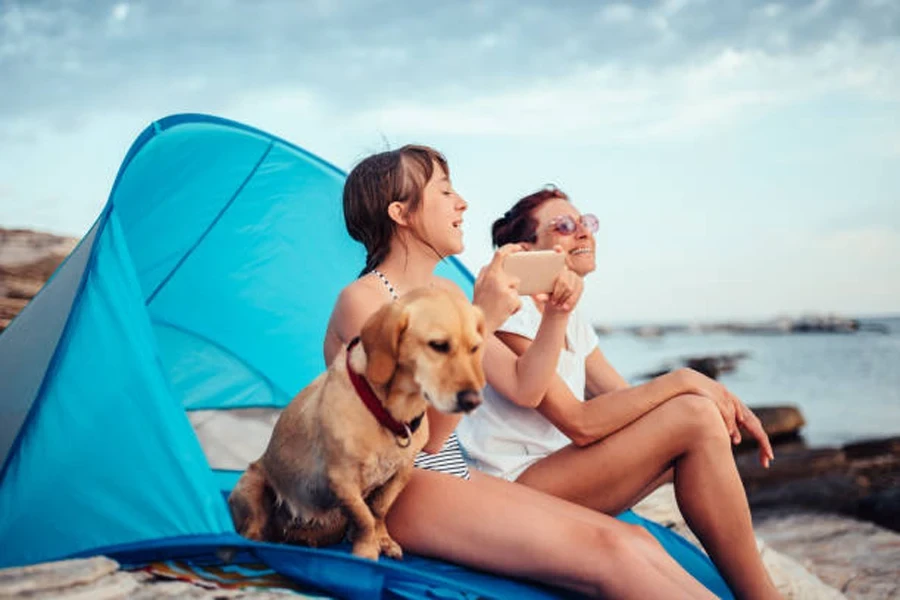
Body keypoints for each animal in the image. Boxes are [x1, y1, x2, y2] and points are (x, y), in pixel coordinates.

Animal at [230, 288, 486, 560]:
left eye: (475, 348)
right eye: (438, 346)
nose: (473, 401)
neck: (391, 415)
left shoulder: (401, 473)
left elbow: (379, 510)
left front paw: (382, 539)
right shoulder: (342, 480)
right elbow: (364, 518)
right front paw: (367, 550)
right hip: (252, 487)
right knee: (252, 531)